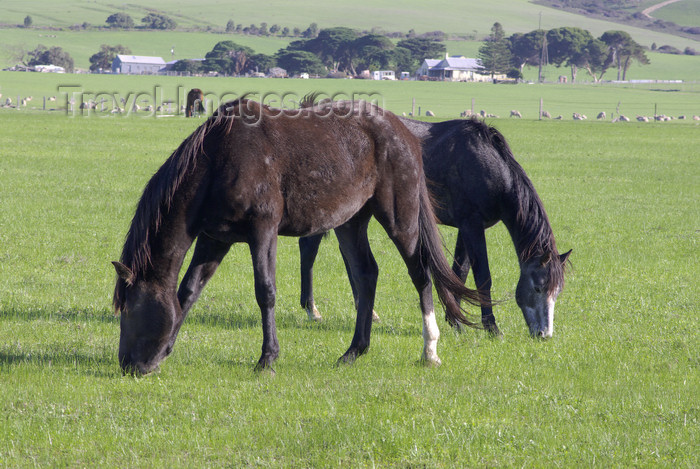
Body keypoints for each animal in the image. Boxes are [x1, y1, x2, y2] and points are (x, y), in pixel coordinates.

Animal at [113, 99, 486, 376]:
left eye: (128, 309)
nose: (129, 365)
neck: (220, 159)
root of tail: (403, 132)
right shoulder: (214, 239)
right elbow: (188, 292)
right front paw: (168, 348)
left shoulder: (262, 231)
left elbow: (265, 291)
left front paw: (268, 358)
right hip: (350, 222)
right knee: (366, 275)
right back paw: (354, 351)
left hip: (400, 217)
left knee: (420, 273)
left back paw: (430, 350)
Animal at [298, 116, 572, 336]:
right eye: (538, 287)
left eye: (557, 292)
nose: (544, 334)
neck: (488, 165)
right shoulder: (472, 225)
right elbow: (482, 277)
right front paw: (491, 327)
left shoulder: (468, 228)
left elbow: (459, 272)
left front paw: (455, 320)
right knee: (309, 248)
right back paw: (312, 309)